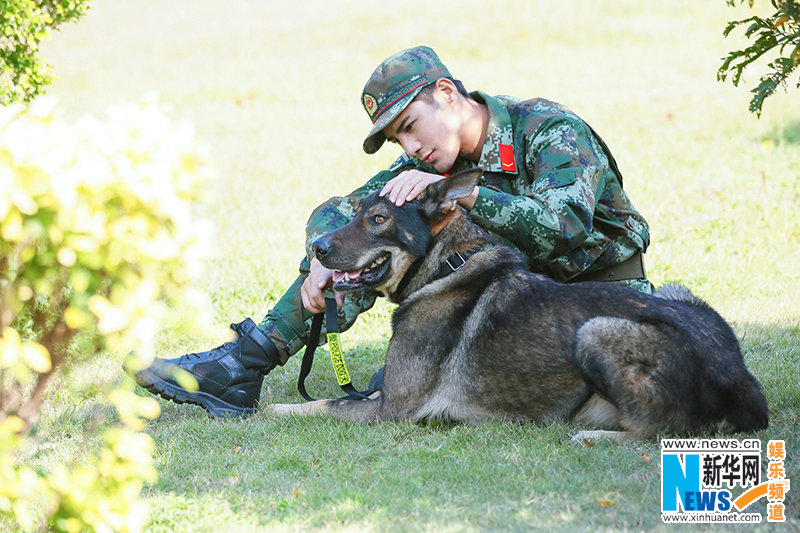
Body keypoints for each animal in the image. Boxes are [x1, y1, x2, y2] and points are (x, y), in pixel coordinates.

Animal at [270, 167, 768, 436]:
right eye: (355, 212)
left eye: (377, 219)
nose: (318, 249)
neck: (446, 266)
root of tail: (743, 383)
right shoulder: (384, 397)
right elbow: (334, 400)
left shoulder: (391, 411)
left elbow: (321, 405)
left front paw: (270, 410)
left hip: (596, 330)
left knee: (655, 431)